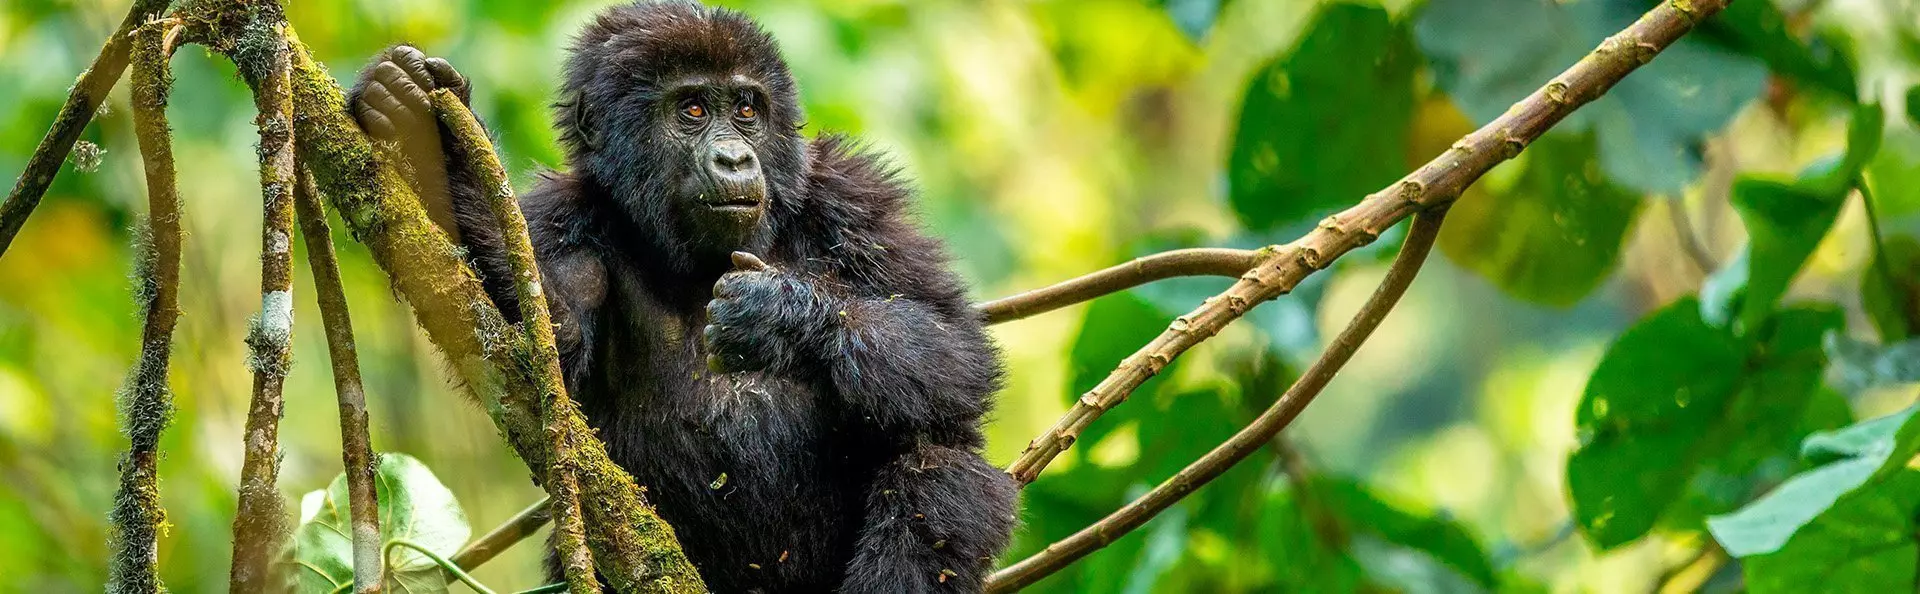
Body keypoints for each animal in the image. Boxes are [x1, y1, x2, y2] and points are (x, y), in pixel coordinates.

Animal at [347, 1, 1018, 591]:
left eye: (746, 108)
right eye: (692, 109)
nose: (735, 158)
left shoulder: (854, 196)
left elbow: (955, 348)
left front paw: (778, 316)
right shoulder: (557, 219)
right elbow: (533, 354)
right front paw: (435, 144)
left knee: (941, 466)